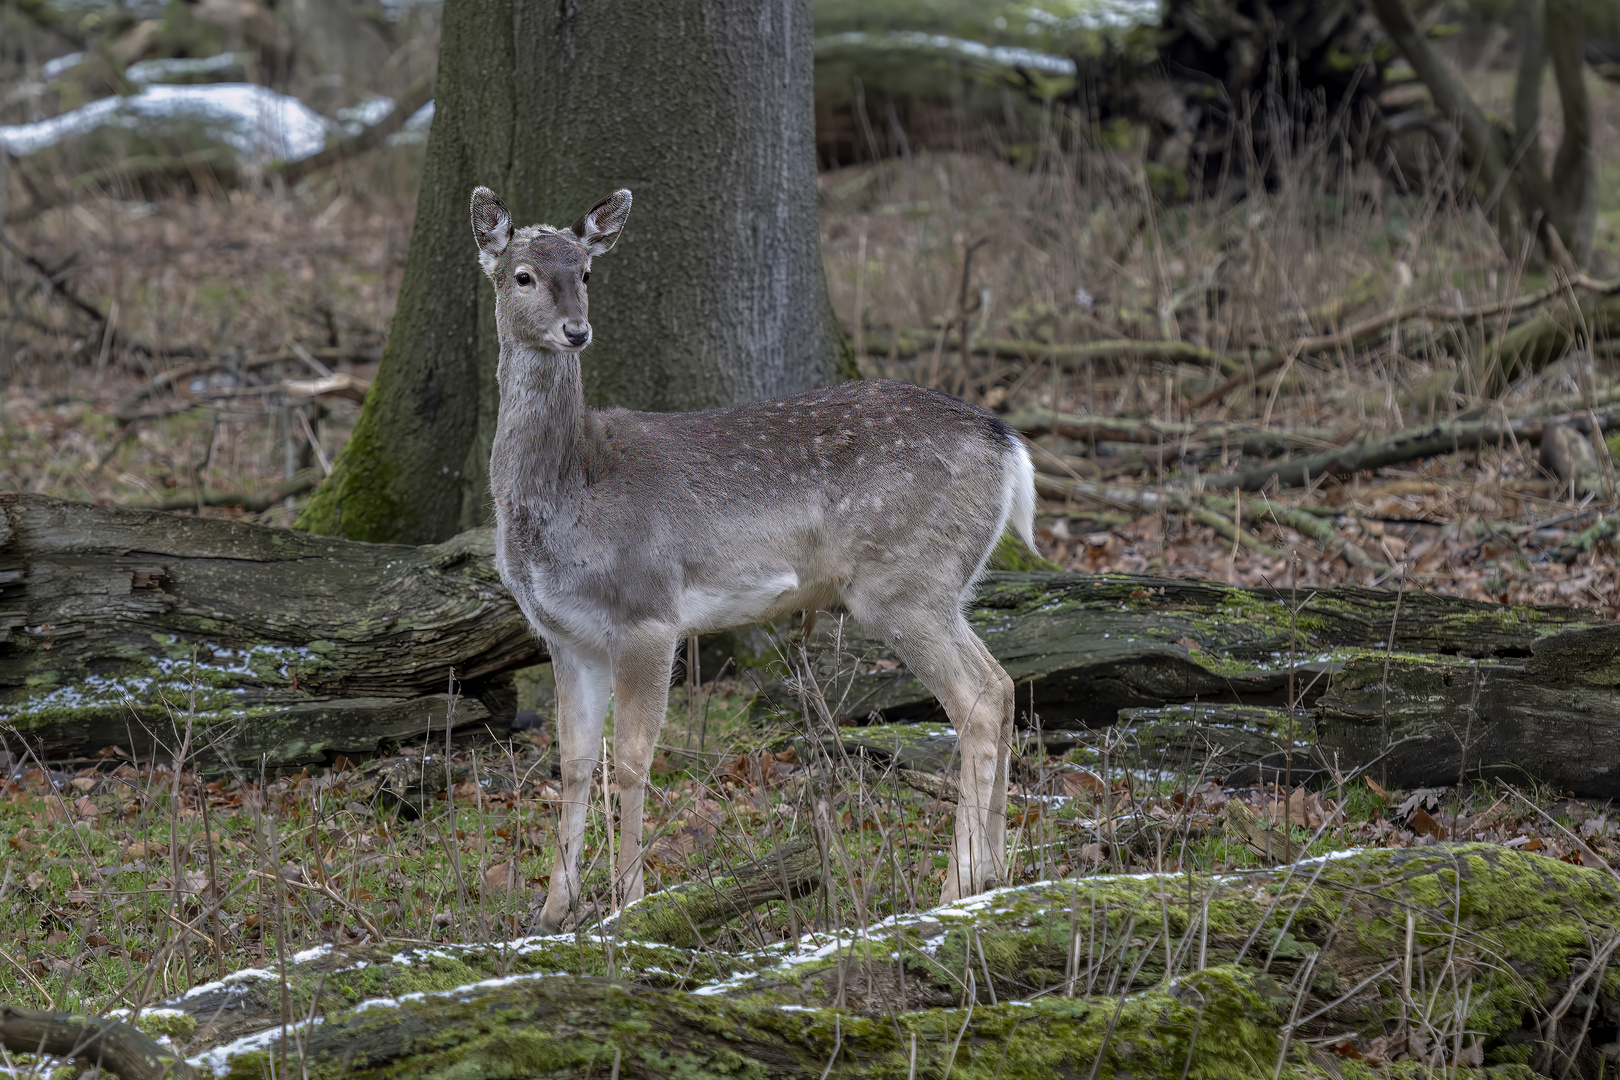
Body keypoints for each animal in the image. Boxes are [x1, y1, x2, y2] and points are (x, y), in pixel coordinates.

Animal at [466, 183, 1036, 932]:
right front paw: (552, 912)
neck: (570, 492)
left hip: (903, 581)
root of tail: (1009, 446)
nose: (576, 331)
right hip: (947, 583)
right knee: (1001, 683)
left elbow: (633, 760)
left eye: (586, 273)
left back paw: (955, 886)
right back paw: (993, 875)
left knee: (974, 702)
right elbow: (574, 761)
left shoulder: (650, 612)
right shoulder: (566, 635)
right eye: (524, 276)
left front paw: (630, 904)